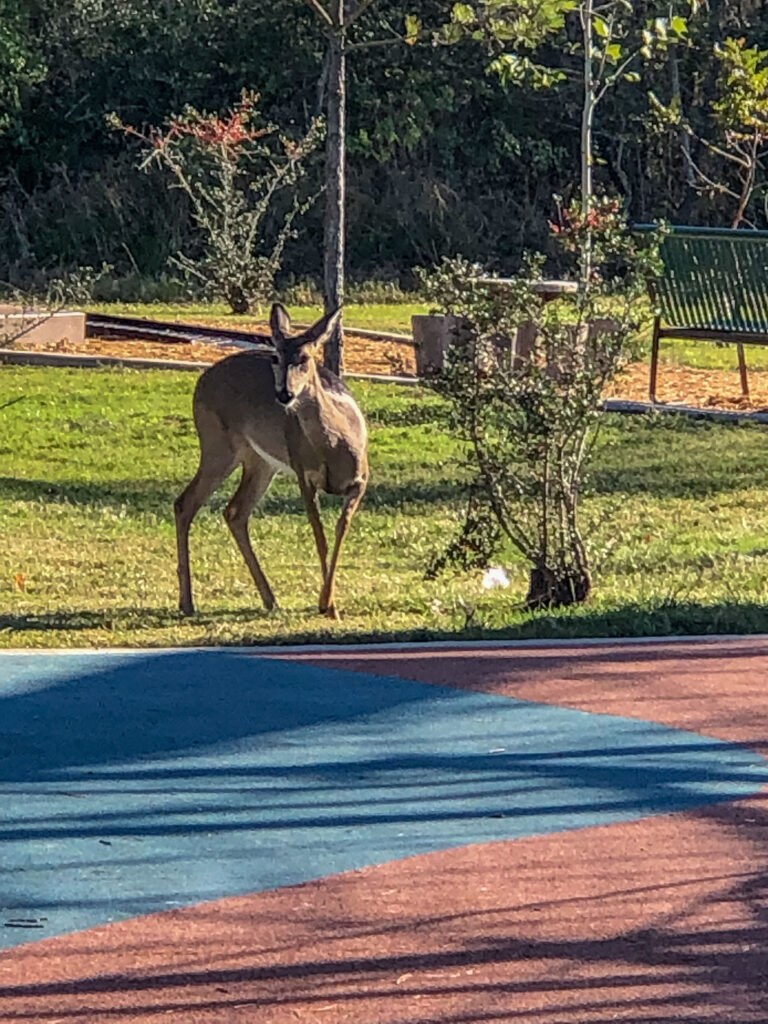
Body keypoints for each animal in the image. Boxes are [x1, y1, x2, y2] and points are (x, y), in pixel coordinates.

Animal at [176, 303, 368, 618]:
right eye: (276, 357)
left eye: (304, 358)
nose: (284, 393)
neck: (335, 444)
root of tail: (202, 379)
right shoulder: (303, 473)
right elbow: (320, 536)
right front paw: (327, 605)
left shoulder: (361, 480)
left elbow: (341, 529)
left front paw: (329, 603)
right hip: (217, 443)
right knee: (186, 503)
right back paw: (187, 602)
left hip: (260, 461)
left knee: (234, 511)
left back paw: (270, 599)